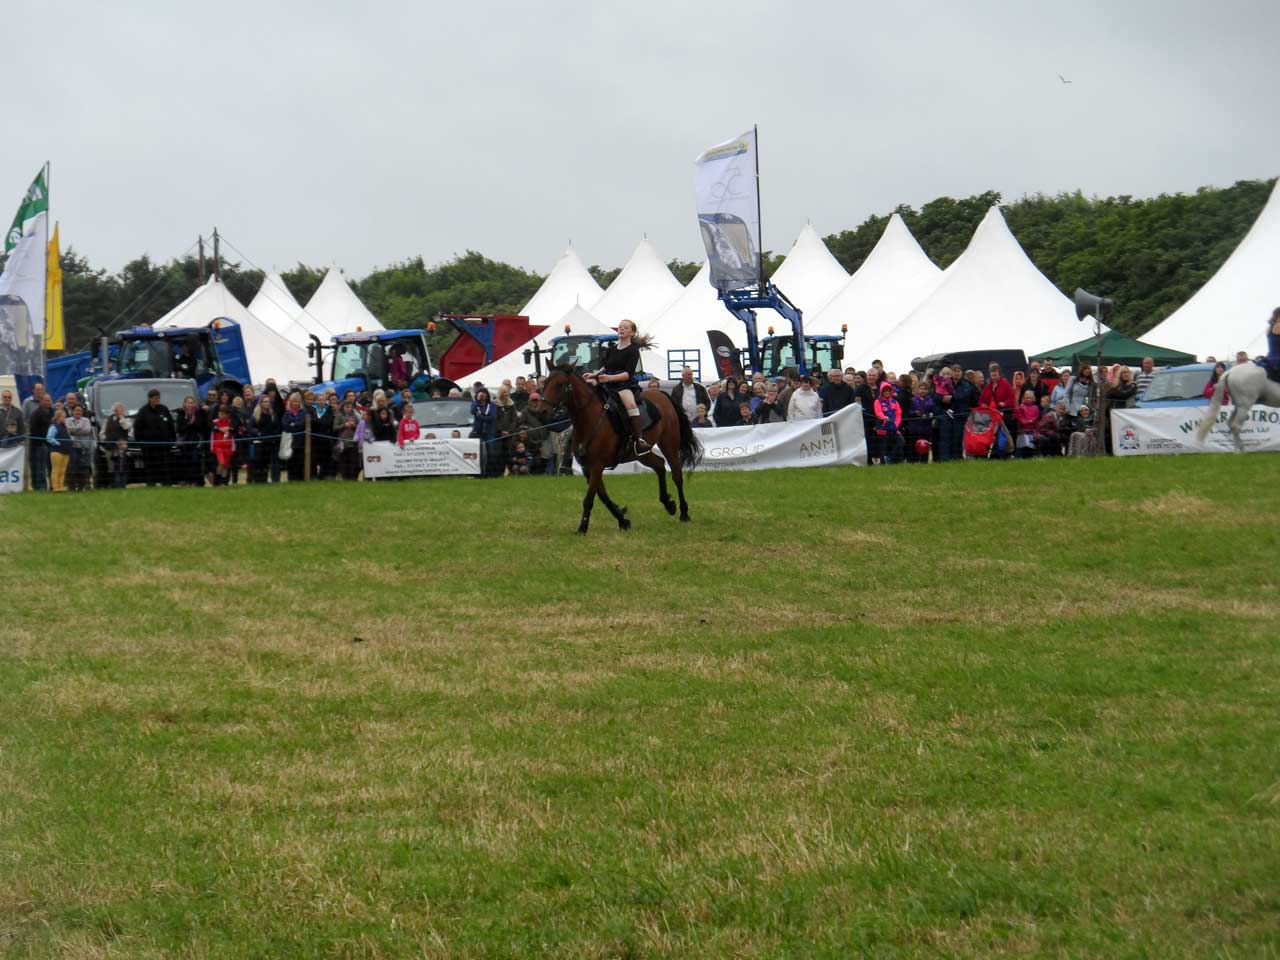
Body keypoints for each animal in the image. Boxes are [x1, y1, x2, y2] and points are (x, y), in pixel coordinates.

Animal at [535, 366, 706, 535]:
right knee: (659, 465)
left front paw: (582, 528)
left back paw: (684, 513)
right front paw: (623, 520)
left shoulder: (597, 466)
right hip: (639, 454)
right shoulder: (587, 468)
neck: (590, 418)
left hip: (669, 444)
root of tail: (662, 395)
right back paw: (668, 504)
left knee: (676, 475)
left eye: (560, 385)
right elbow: (603, 496)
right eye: (545, 383)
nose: (541, 411)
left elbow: (589, 499)